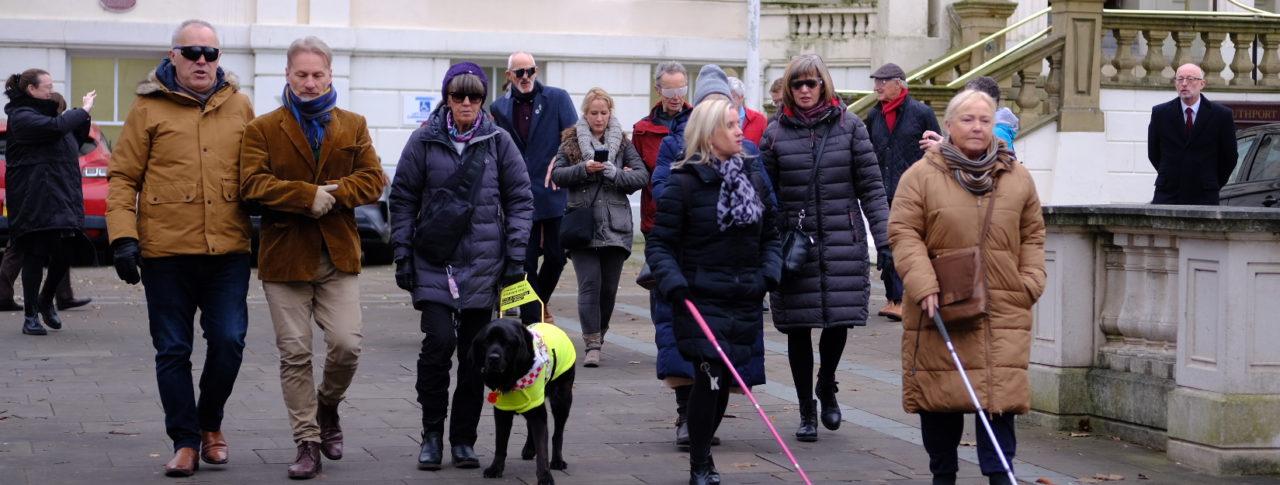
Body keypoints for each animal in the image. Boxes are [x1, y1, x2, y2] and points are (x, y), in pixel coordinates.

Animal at [476, 318, 576, 485]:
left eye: (506, 342)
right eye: (486, 342)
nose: (493, 358)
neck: (512, 377)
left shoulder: (538, 411)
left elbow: (543, 448)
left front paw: (545, 476)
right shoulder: (502, 412)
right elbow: (500, 443)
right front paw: (495, 468)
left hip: (561, 399)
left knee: (558, 433)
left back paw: (557, 460)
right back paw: (529, 448)